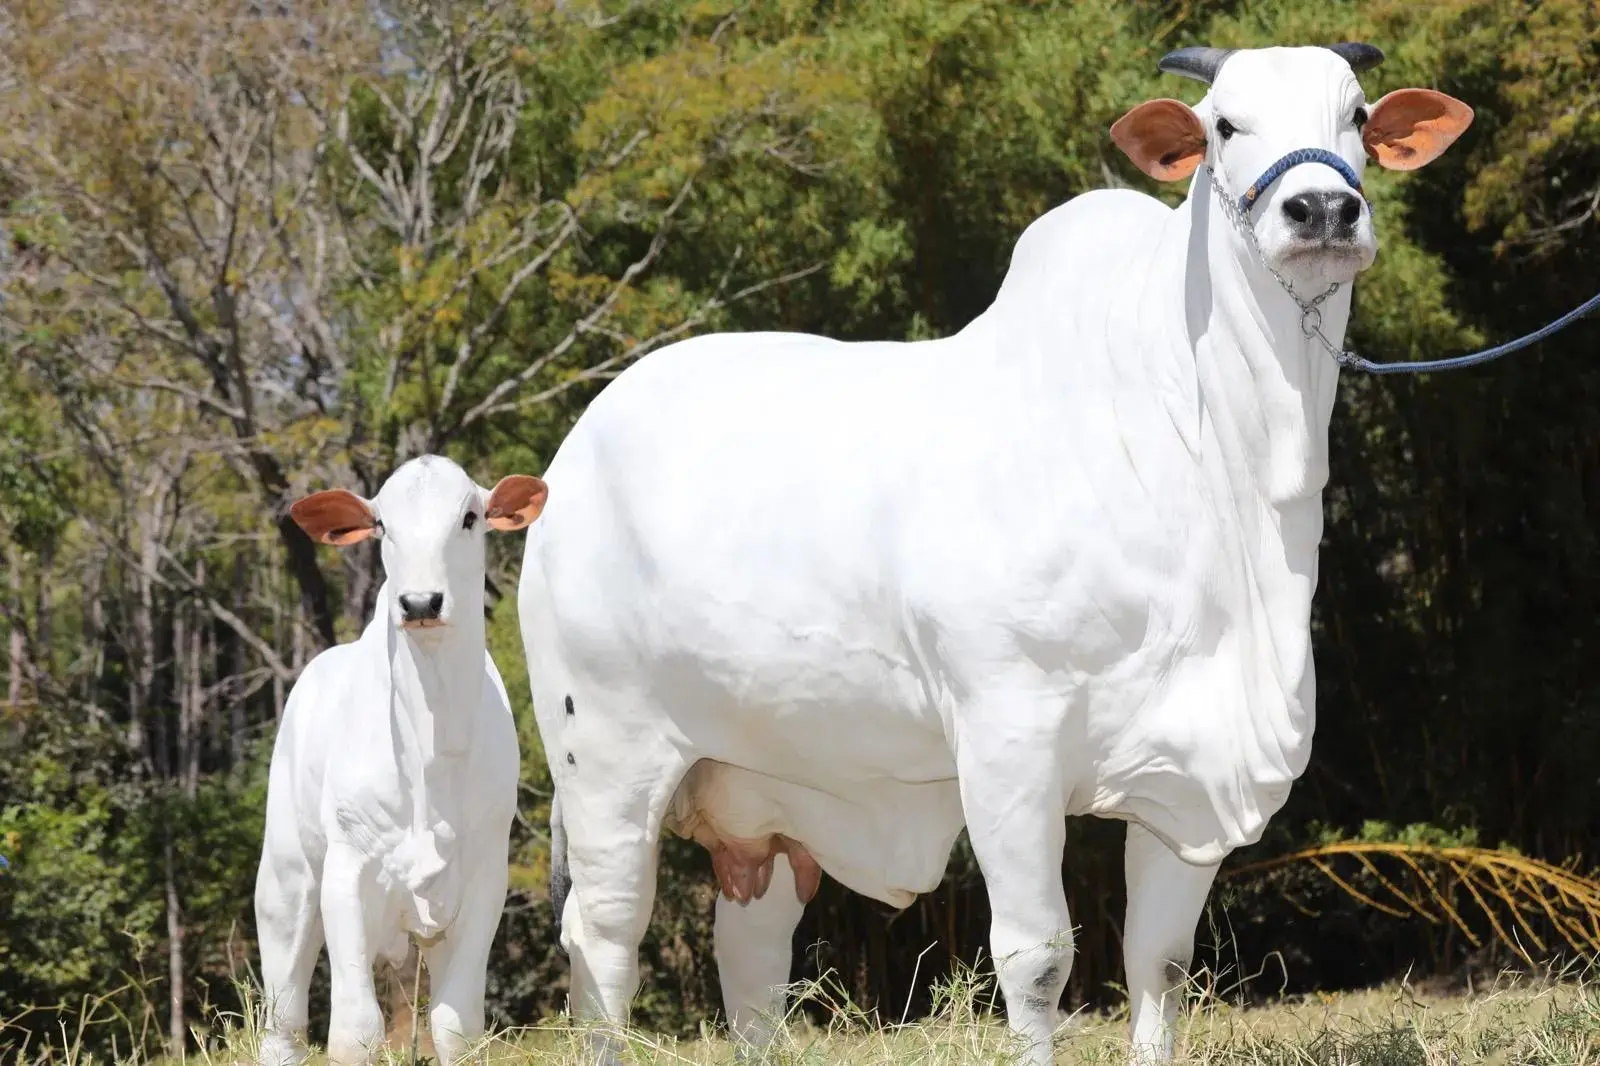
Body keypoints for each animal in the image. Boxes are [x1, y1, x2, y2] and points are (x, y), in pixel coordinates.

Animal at [252, 457, 547, 1062]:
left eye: (470, 516)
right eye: (382, 525)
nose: (419, 603)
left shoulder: (485, 877)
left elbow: (457, 1026)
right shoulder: (348, 869)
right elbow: (354, 1031)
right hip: (288, 879)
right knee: (284, 1017)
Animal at [521, 45, 1472, 1056]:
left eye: (1357, 114)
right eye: (1223, 123)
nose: (1323, 210)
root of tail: (572, 454)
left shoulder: (1185, 779)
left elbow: (1161, 960)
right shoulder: (1008, 737)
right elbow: (1037, 957)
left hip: (766, 802)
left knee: (752, 966)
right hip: (606, 758)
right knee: (604, 948)